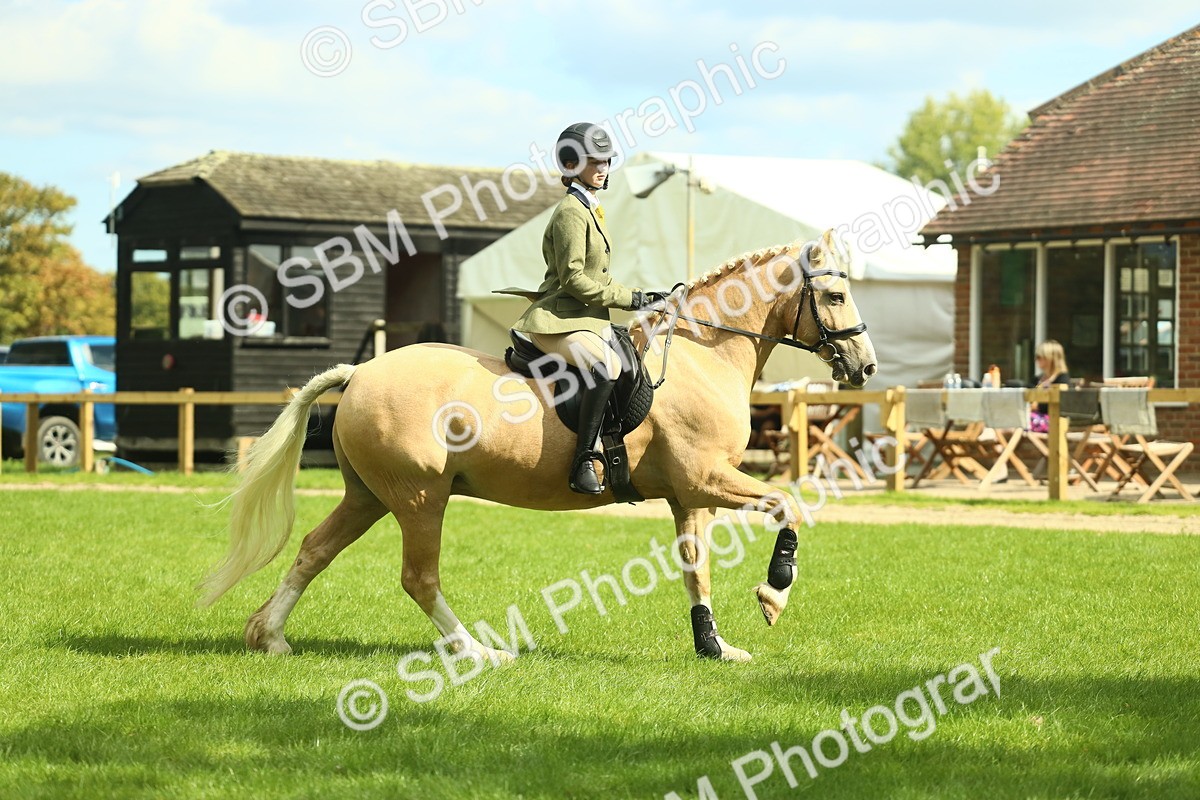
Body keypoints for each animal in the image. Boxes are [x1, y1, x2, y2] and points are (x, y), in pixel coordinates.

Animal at [200, 228, 877, 663]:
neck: (699, 354)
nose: (865, 367)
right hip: (420, 497)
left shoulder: (690, 494)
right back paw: (478, 652)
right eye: (836, 295)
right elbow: (790, 506)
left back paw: (269, 636)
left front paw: (715, 647)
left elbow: (697, 569)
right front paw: (774, 593)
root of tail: (361, 372)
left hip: (369, 494)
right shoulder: (707, 478)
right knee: (419, 576)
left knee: (314, 550)